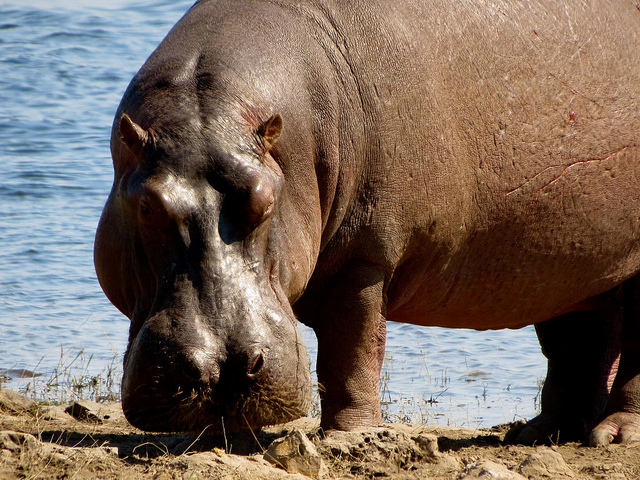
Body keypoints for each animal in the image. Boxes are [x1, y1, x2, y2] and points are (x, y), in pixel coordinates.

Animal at [95, 0, 640, 446]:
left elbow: (351, 348)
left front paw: (346, 436)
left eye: (266, 200)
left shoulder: (364, 257)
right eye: (148, 206)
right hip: (568, 260)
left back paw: (611, 436)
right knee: (576, 343)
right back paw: (540, 434)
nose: (223, 367)